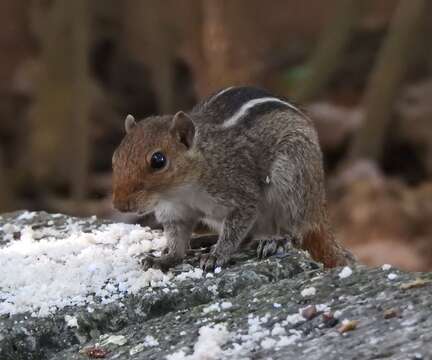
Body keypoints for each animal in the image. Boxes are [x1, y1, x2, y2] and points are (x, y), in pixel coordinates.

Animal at [111, 86, 354, 270]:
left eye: (158, 160)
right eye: (115, 157)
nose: (120, 205)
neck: (181, 191)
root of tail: (318, 207)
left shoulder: (239, 193)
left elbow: (235, 229)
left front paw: (217, 255)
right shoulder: (174, 212)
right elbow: (176, 241)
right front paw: (164, 259)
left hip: (292, 180)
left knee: (295, 228)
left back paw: (275, 240)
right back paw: (203, 240)